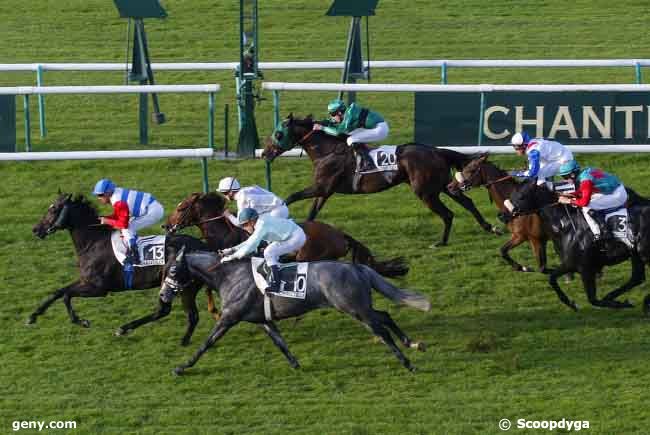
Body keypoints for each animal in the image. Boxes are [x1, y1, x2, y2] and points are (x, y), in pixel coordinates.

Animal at [30, 192, 208, 346]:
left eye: (53, 209)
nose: (36, 229)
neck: (93, 242)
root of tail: (203, 246)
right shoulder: (85, 280)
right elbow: (59, 292)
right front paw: (33, 316)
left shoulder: (98, 288)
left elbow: (67, 295)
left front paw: (81, 321)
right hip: (181, 287)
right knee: (178, 313)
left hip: (178, 284)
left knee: (175, 312)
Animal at [163, 249, 430, 374]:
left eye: (173, 271)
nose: (164, 295)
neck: (229, 275)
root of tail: (356, 267)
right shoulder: (262, 320)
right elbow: (280, 343)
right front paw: (296, 364)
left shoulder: (230, 317)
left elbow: (207, 343)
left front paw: (183, 367)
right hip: (361, 306)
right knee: (385, 315)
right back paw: (412, 343)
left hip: (353, 308)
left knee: (381, 330)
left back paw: (408, 363)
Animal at [260, 114, 498, 247]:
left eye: (278, 134)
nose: (265, 153)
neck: (327, 151)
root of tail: (437, 151)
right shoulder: (324, 191)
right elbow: (311, 214)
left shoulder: (321, 186)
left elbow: (291, 197)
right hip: (443, 185)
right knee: (467, 202)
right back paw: (489, 227)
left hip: (425, 192)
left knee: (448, 214)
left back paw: (441, 242)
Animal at [508, 182, 650, 312]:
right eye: (513, 194)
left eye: (521, 196)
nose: (505, 215)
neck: (564, 225)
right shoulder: (570, 264)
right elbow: (552, 278)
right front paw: (571, 304)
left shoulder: (585, 267)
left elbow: (593, 300)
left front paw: (621, 304)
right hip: (636, 254)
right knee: (637, 278)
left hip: (643, 253)